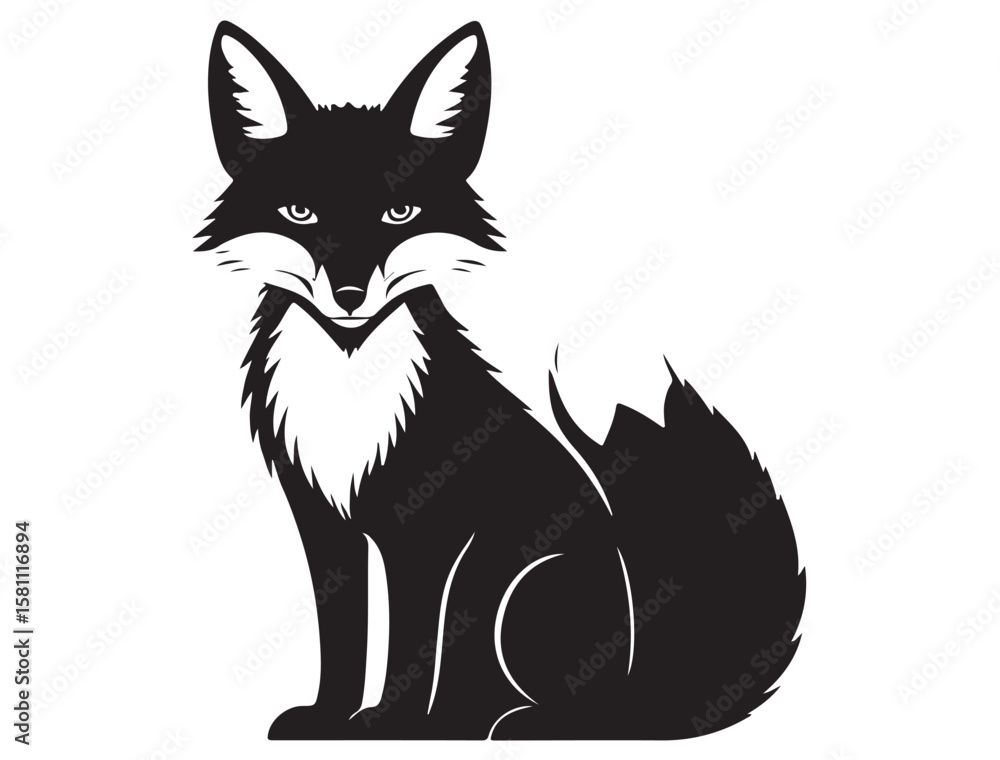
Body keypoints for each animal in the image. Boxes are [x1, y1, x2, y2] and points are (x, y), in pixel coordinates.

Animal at [198, 20, 805, 740]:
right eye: (300, 212)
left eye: (399, 213)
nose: (348, 297)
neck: (350, 373)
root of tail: (646, 688)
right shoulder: (323, 519)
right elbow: (342, 637)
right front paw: (328, 717)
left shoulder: (424, 529)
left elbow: (410, 644)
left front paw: (387, 724)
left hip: (524, 591)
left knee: (582, 712)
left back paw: (505, 722)